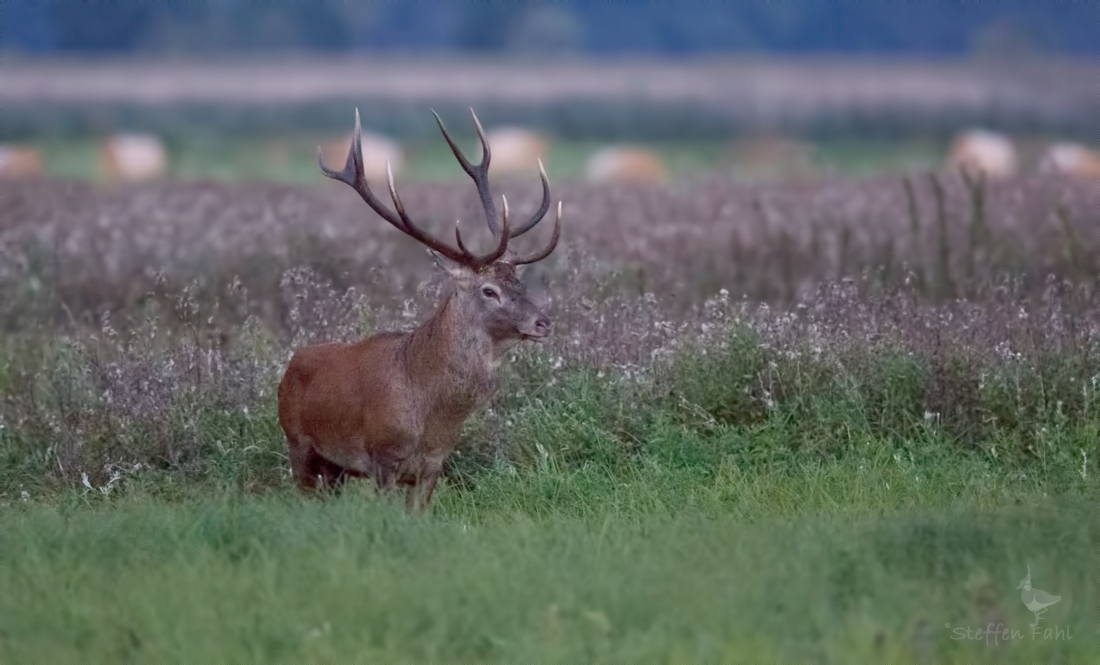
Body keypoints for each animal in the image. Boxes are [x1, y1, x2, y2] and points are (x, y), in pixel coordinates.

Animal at [277, 110, 558, 514]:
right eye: (489, 291)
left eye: (519, 282)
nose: (543, 322)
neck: (433, 417)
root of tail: (291, 362)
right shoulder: (382, 457)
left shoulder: (434, 464)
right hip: (296, 442)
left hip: (335, 467)